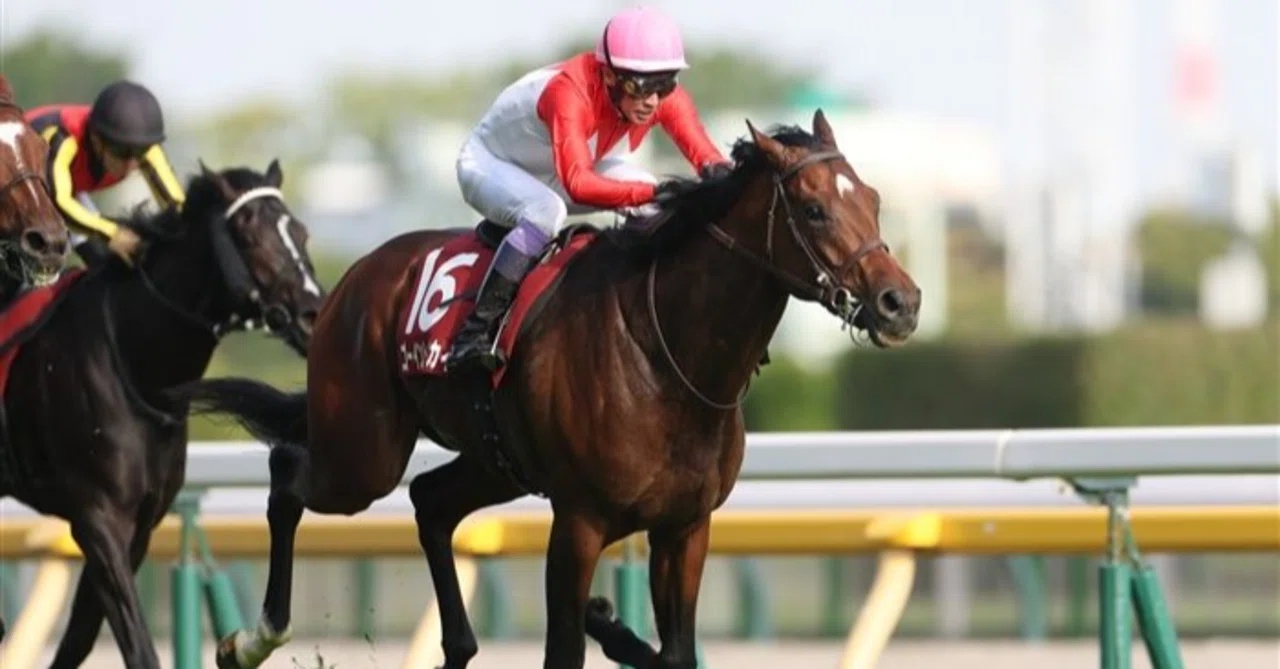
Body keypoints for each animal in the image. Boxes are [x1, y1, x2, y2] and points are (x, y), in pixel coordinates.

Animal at [0, 160, 324, 668]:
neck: (133, 361)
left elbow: (80, 636)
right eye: (250, 236)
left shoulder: (140, 524)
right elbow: (137, 645)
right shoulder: (97, 518)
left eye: (301, 232)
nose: (313, 313)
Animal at [177, 109, 921, 669]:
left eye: (874, 199)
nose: (900, 302)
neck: (669, 360)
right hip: (362, 454)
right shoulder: (580, 521)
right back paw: (252, 639)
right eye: (815, 209)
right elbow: (565, 650)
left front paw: (612, 622)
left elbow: (675, 652)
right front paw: (602, 620)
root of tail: (347, 283)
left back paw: (459, 645)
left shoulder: (685, 527)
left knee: (430, 500)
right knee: (289, 473)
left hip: (495, 460)